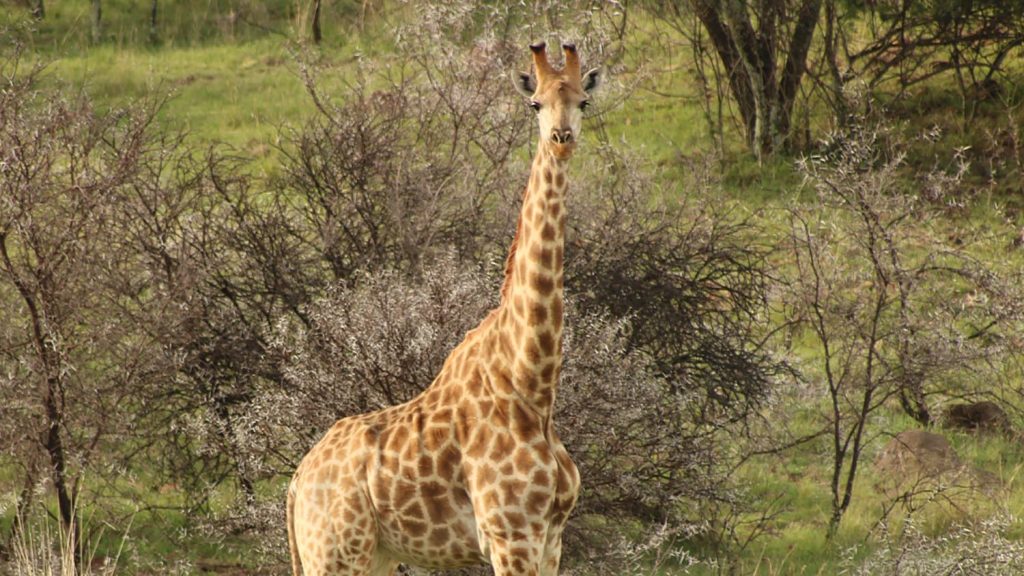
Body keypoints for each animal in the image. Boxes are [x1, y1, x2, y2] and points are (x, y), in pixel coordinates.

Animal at [287, 41, 601, 576]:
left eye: (583, 101)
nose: (561, 139)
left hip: (373, 557)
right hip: (333, 554)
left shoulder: (551, 540)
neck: (532, 386)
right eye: (534, 103)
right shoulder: (511, 536)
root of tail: (295, 484)